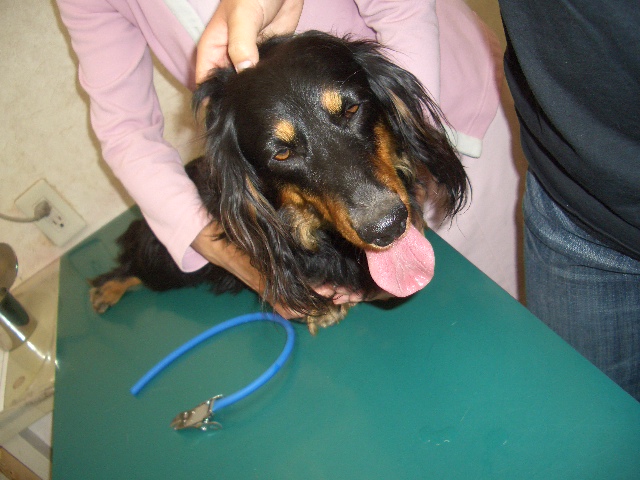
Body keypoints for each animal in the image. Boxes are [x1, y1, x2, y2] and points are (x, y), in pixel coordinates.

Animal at [89, 31, 467, 334]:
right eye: (281, 154)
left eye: (351, 109)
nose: (387, 227)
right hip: (171, 263)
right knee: (135, 263)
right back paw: (108, 287)